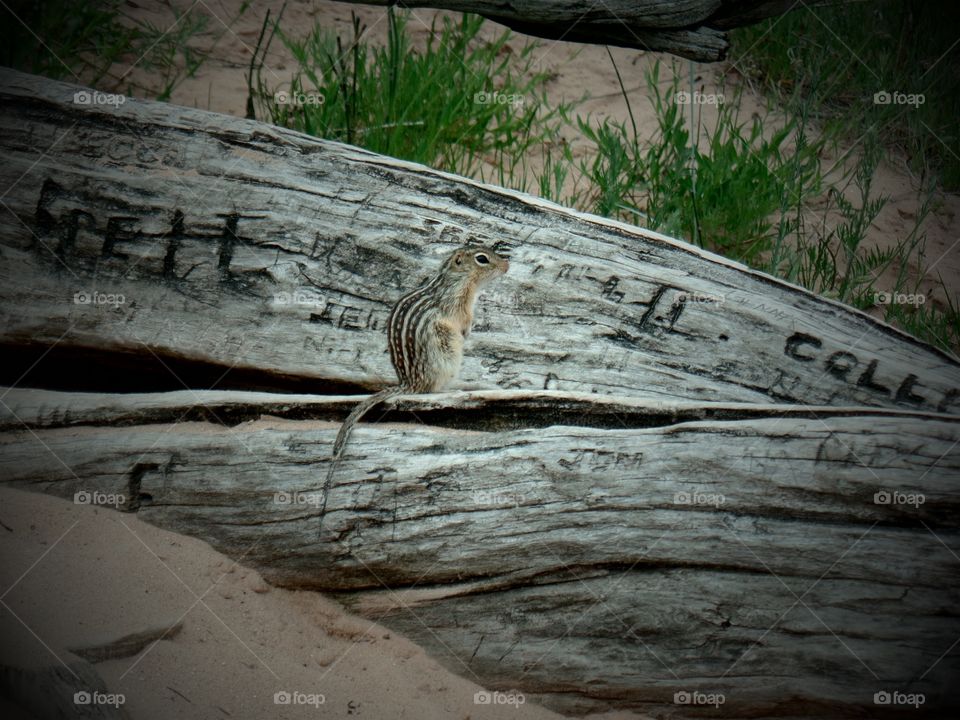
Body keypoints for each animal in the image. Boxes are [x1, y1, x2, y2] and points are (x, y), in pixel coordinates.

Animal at [318, 246, 510, 536]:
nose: (507, 265)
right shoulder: (456, 304)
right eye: (482, 258)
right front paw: (468, 330)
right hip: (446, 349)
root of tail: (406, 382)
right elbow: (463, 319)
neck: (458, 279)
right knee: (430, 388)